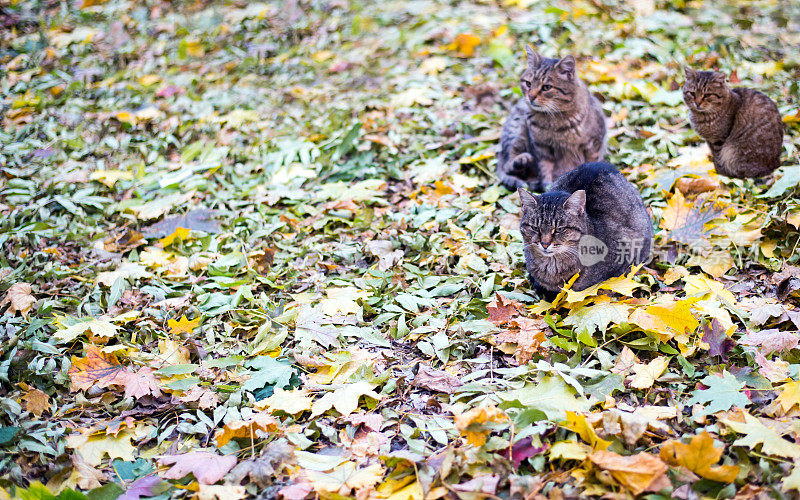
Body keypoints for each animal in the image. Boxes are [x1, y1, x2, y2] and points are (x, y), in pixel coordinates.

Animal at [494, 46, 608, 191]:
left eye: (546, 87)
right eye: (528, 84)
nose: (531, 97)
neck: (553, 121)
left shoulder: (593, 145)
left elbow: (590, 164)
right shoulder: (542, 149)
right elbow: (545, 170)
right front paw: (547, 185)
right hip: (516, 129)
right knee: (508, 164)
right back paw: (522, 161)